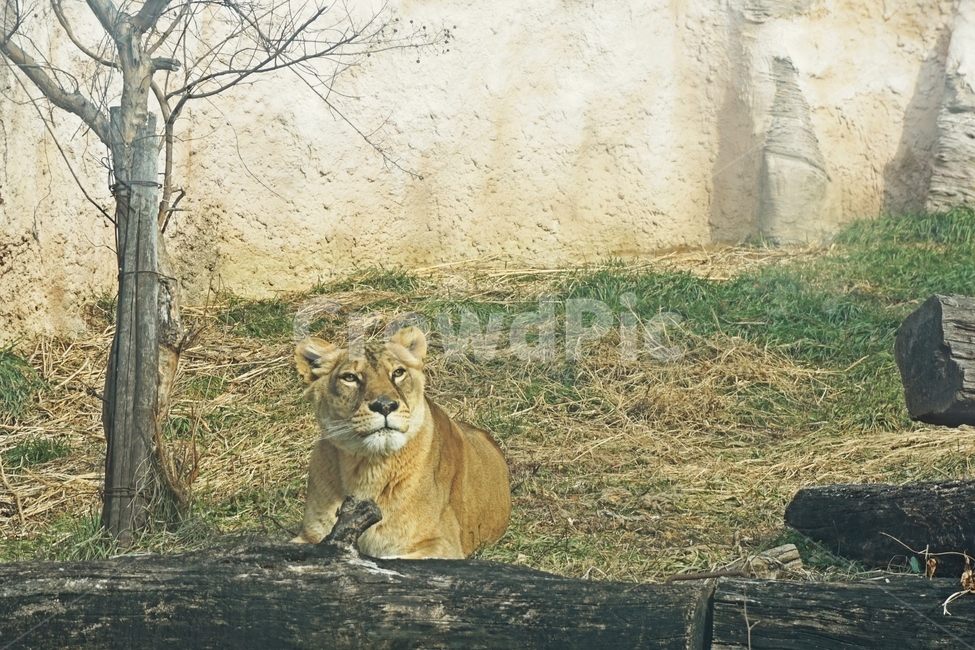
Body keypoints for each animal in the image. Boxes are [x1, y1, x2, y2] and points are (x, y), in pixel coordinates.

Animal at [292, 326, 511, 559]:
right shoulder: (309, 537)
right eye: (350, 377)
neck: (368, 469)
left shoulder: (442, 544)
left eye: (398, 373)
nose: (385, 405)